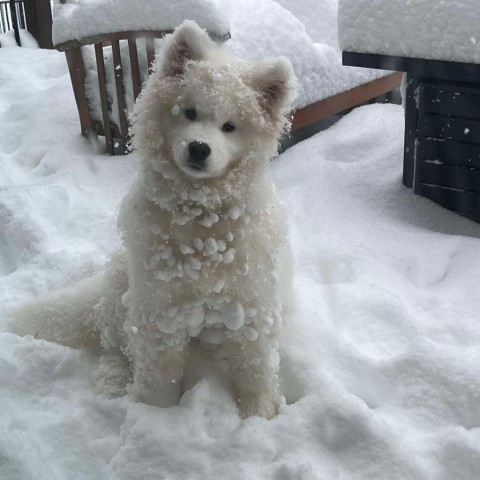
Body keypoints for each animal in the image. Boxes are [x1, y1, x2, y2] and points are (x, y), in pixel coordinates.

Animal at [10, 21, 296, 420]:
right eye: (189, 112)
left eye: (229, 126)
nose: (198, 148)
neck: (201, 223)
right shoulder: (160, 311)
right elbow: (159, 373)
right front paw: (156, 416)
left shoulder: (252, 305)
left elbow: (254, 368)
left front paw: (259, 417)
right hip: (124, 292)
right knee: (114, 348)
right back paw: (114, 384)